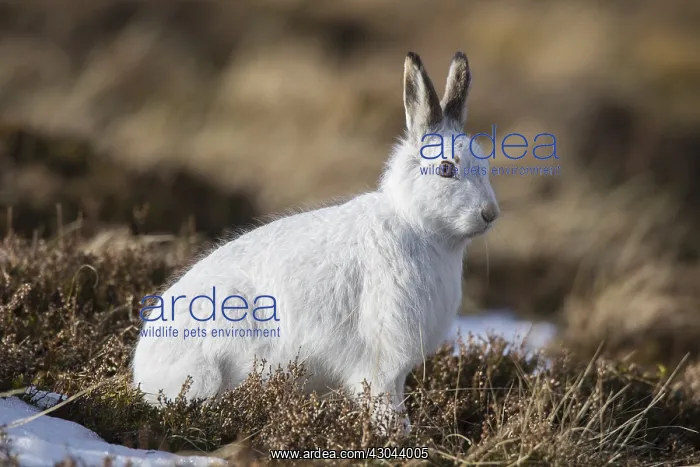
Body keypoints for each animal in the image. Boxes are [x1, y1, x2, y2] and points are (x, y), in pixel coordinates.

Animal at [131, 51, 499, 434]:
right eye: (445, 169)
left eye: (485, 164)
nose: (490, 213)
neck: (417, 224)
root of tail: (141, 373)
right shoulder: (382, 361)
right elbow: (387, 407)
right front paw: (397, 438)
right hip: (212, 362)